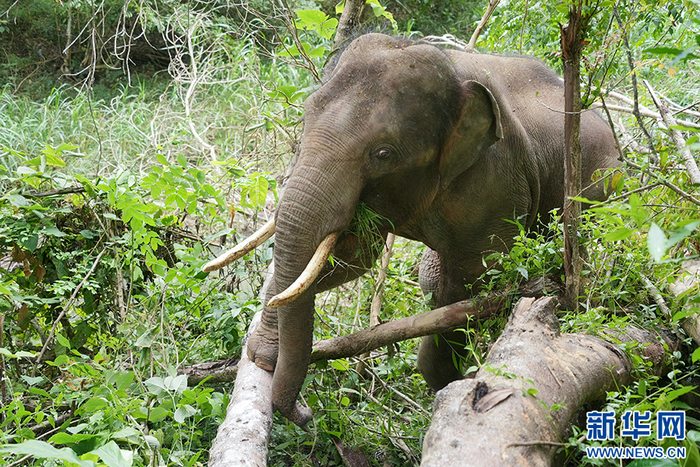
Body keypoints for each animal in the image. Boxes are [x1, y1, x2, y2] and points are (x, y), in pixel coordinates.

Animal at [208, 33, 620, 426]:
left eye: (383, 153)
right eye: (306, 117)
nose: (304, 413)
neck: (453, 70)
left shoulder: (495, 183)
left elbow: (474, 276)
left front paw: (455, 383)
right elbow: (349, 259)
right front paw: (262, 353)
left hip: (600, 192)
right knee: (429, 275)